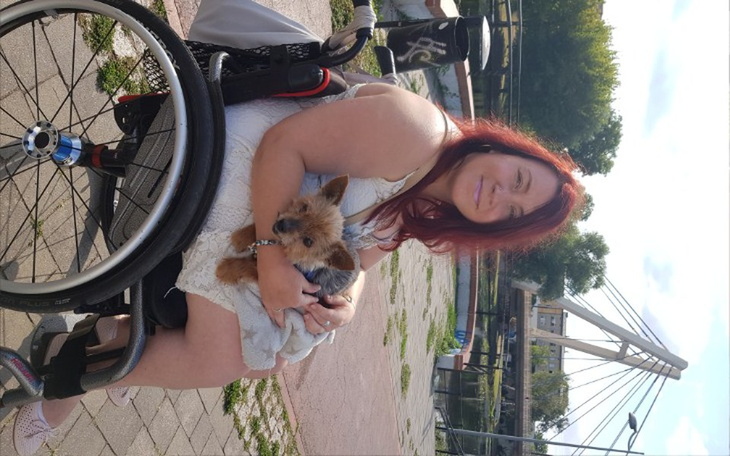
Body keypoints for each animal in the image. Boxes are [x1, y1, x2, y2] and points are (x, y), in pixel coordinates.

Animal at [215, 175, 359, 298]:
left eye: (308, 241)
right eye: (304, 207)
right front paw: (242, 237)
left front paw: (226, 269)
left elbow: (248, 265)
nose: (282, 225)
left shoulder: (266, 277)